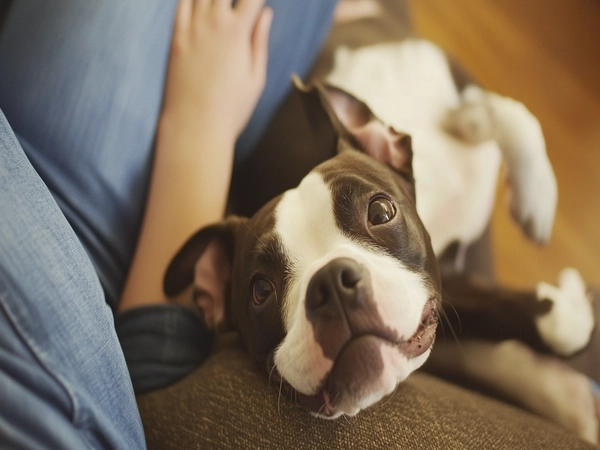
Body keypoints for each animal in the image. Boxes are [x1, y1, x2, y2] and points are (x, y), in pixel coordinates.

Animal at [163, 0, 596, 442]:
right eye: (260, 290)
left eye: (380, 212)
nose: (332, 283)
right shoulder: (448, 287)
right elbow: (501, 314)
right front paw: (565, 313)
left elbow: (508, 112)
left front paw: (532, 189)